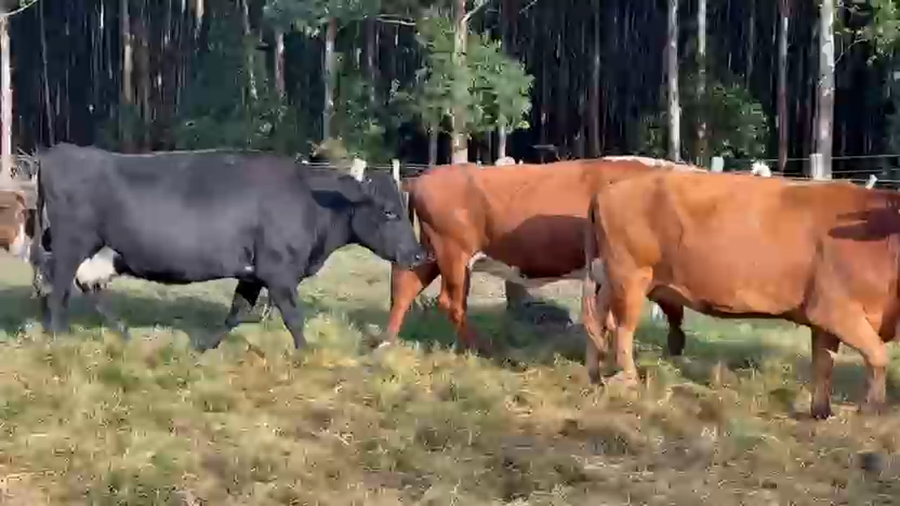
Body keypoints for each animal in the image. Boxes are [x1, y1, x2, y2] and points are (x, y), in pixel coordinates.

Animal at [29, 143, 428, 350]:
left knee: (85, 286)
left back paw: (124, 335)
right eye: (389, 211)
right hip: (71, 242)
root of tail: (57, 151)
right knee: (58, 287)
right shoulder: (278, 271)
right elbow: (293, 317)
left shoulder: (253, 273)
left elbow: (237, 311)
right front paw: (306, 354)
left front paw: (204, 346)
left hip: (99, 250)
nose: (419, 254)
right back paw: (58, 337)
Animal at [381, 156, 704, 354]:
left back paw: (386, 343)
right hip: (454, 254)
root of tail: (423, 177)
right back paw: (484, 347)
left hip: (431, 253)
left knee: (405, 288)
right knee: (451, 302)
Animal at [582, 169, 899, 419]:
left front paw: (821, 412)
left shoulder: (824, 320)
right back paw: (629, 381)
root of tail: (607, 190)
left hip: (610, 279)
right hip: (630, 278)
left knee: (597, 321)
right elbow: (877, 355)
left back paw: (594, 376)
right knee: (622, 330)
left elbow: (823, 364)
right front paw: (870, 408)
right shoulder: (835, 310)